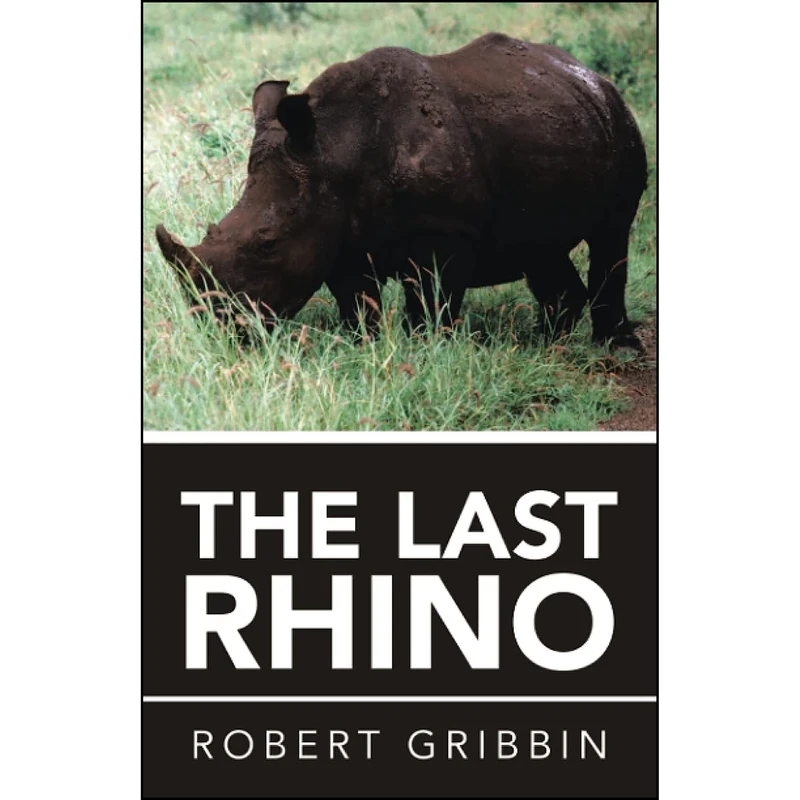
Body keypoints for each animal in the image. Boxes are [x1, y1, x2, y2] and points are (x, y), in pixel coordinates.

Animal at [156, 32, 647, 347]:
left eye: (268, 243)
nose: (221, 329)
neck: (334, 147)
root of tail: (590, 75)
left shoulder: (445, 229)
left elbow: (431, 302)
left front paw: (426, 350)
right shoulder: (336, 229)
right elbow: (355, 302)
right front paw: (365, 347)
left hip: (618, 122)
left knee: (612, 231)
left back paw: (614, 348)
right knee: (540, 246)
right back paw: (545, 345)